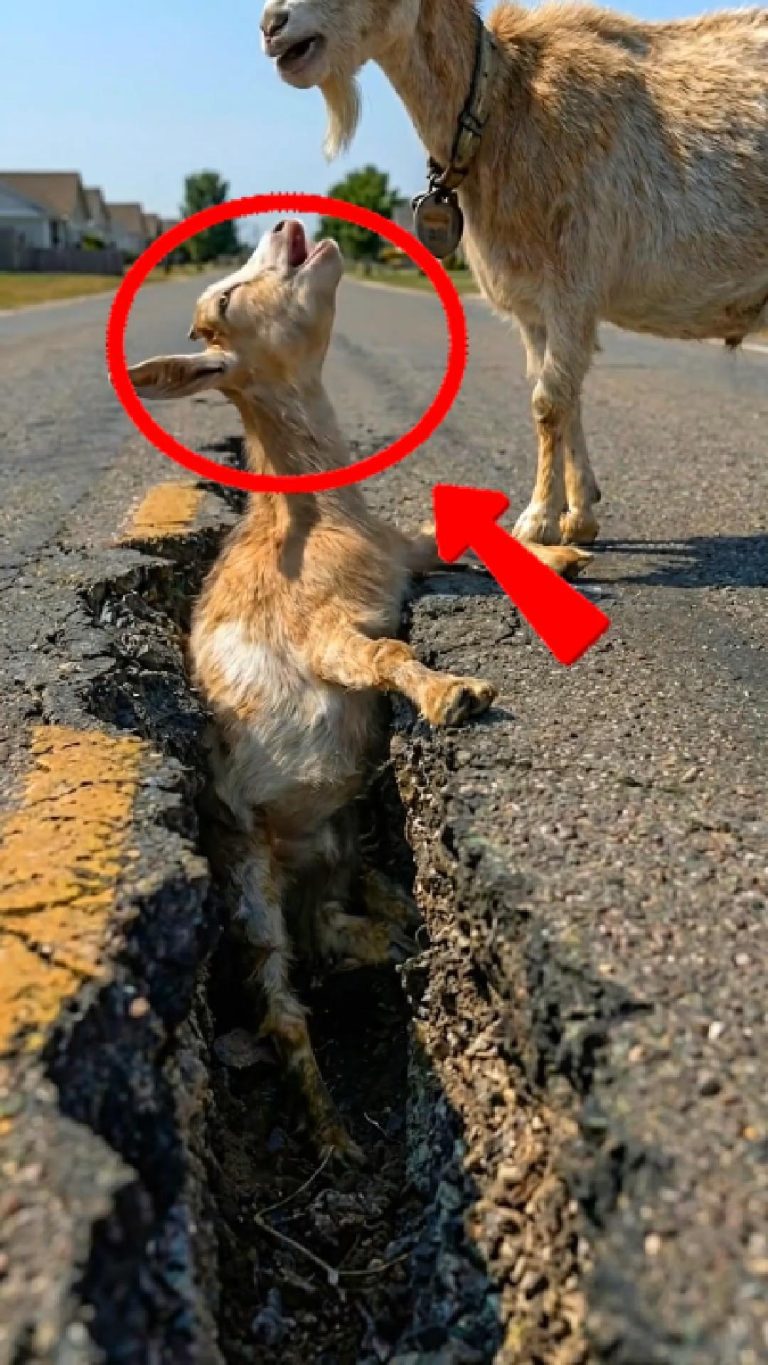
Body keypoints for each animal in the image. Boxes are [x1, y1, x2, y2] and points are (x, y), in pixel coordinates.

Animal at [128, 219, 588, 1157]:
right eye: (224, 298)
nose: (285, 224)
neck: (311, 516)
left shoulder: (406, 551)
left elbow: (465, 547)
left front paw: (558, 554)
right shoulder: (318, 632)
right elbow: (384, 658)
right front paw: (453, 693)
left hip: (339, 843)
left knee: (329, 933)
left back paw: (401, 928)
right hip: (244, 876)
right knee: (282, 1000)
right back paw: (335, 1133)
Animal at [260, 0, 768, 546]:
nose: (272, 25)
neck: (500, 101)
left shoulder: (573, 281)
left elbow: (549, 401)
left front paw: (538, 520)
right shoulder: (535, 303)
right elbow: (564, 398)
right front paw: (579, 516)